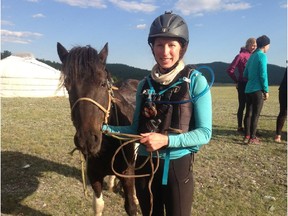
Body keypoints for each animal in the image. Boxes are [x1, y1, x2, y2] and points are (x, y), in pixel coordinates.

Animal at [57, 42, 138, 216]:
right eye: (67, 85)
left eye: (102, 83)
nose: (87, 141)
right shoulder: (93, 174)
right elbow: (98, 205)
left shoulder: (127, 174)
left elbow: (131, 207)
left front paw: (134, 200)